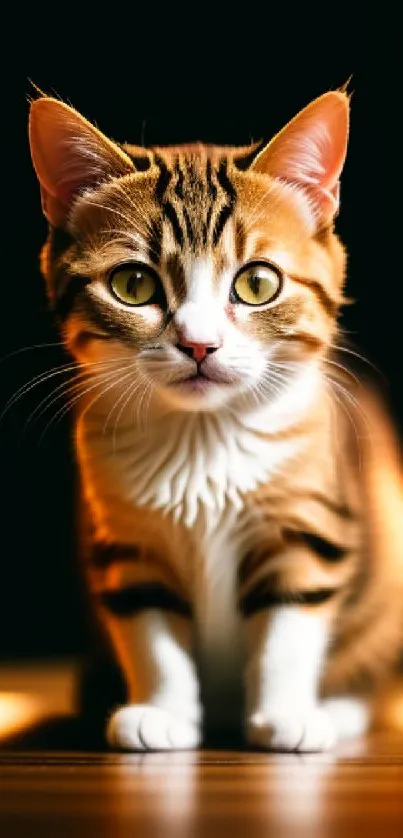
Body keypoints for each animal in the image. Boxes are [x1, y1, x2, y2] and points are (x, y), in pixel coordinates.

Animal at [28, 92, 403, 756]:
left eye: (257, 282)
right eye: (133, 284)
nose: (199, 344)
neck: (202, 439)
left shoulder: (308, 520)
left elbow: (289, 629)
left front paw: (287, 716)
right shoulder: (128, 542)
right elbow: (153, 635)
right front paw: (161, 713)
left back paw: (341, 709)